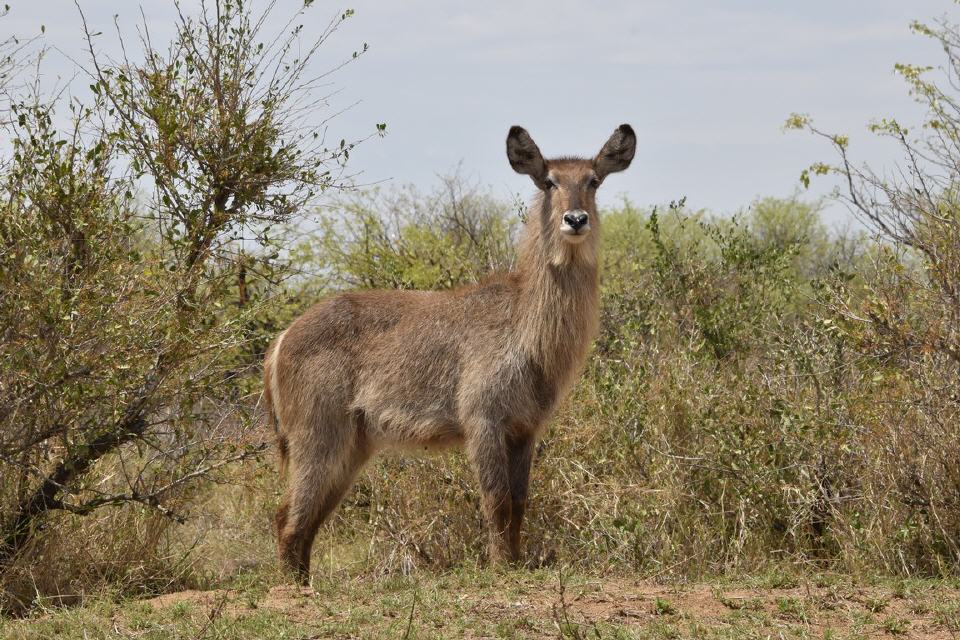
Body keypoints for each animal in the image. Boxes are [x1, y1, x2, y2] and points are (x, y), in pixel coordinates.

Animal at [264, 122, 636, 584]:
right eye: (549, 181)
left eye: (593, 181)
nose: (576, 219)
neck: (523, 323)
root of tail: (283, 337)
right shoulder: (483, 420)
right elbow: (496, 501)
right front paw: (501, 569)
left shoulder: (525, 430)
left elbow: (519, 503)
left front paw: (516, 562)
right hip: (316, 435)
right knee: (288, 517)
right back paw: (292, 588)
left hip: (351, 445)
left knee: (307, 519)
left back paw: (303, 581)